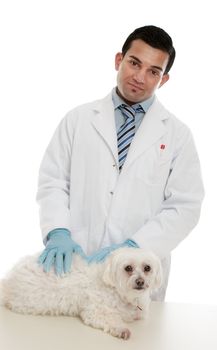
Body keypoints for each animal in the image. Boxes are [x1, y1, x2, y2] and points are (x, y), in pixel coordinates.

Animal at [0, 247, 162, 340]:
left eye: (147, 268)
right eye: (128, 268)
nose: (140, 281)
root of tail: (9, 281)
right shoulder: (96, 310)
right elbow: (110, 319)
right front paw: (121, 329)